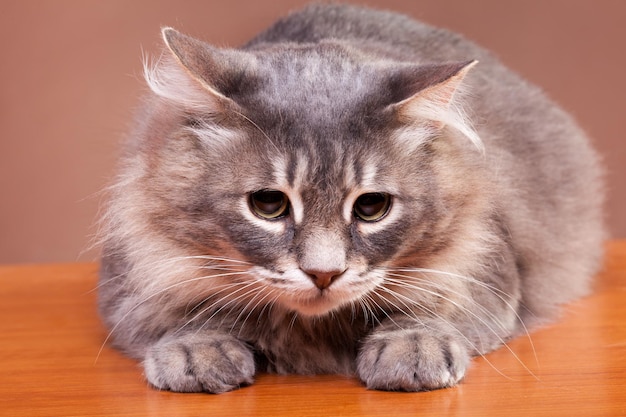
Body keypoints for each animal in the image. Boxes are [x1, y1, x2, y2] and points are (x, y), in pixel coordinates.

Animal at [96, 4, 600, 394]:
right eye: (268, 205)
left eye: (371, 208)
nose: (324, 274)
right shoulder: (134, 279)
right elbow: (186, 317)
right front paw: (197, 351)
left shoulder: (484, 265)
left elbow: (430, 311)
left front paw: (411, 348)